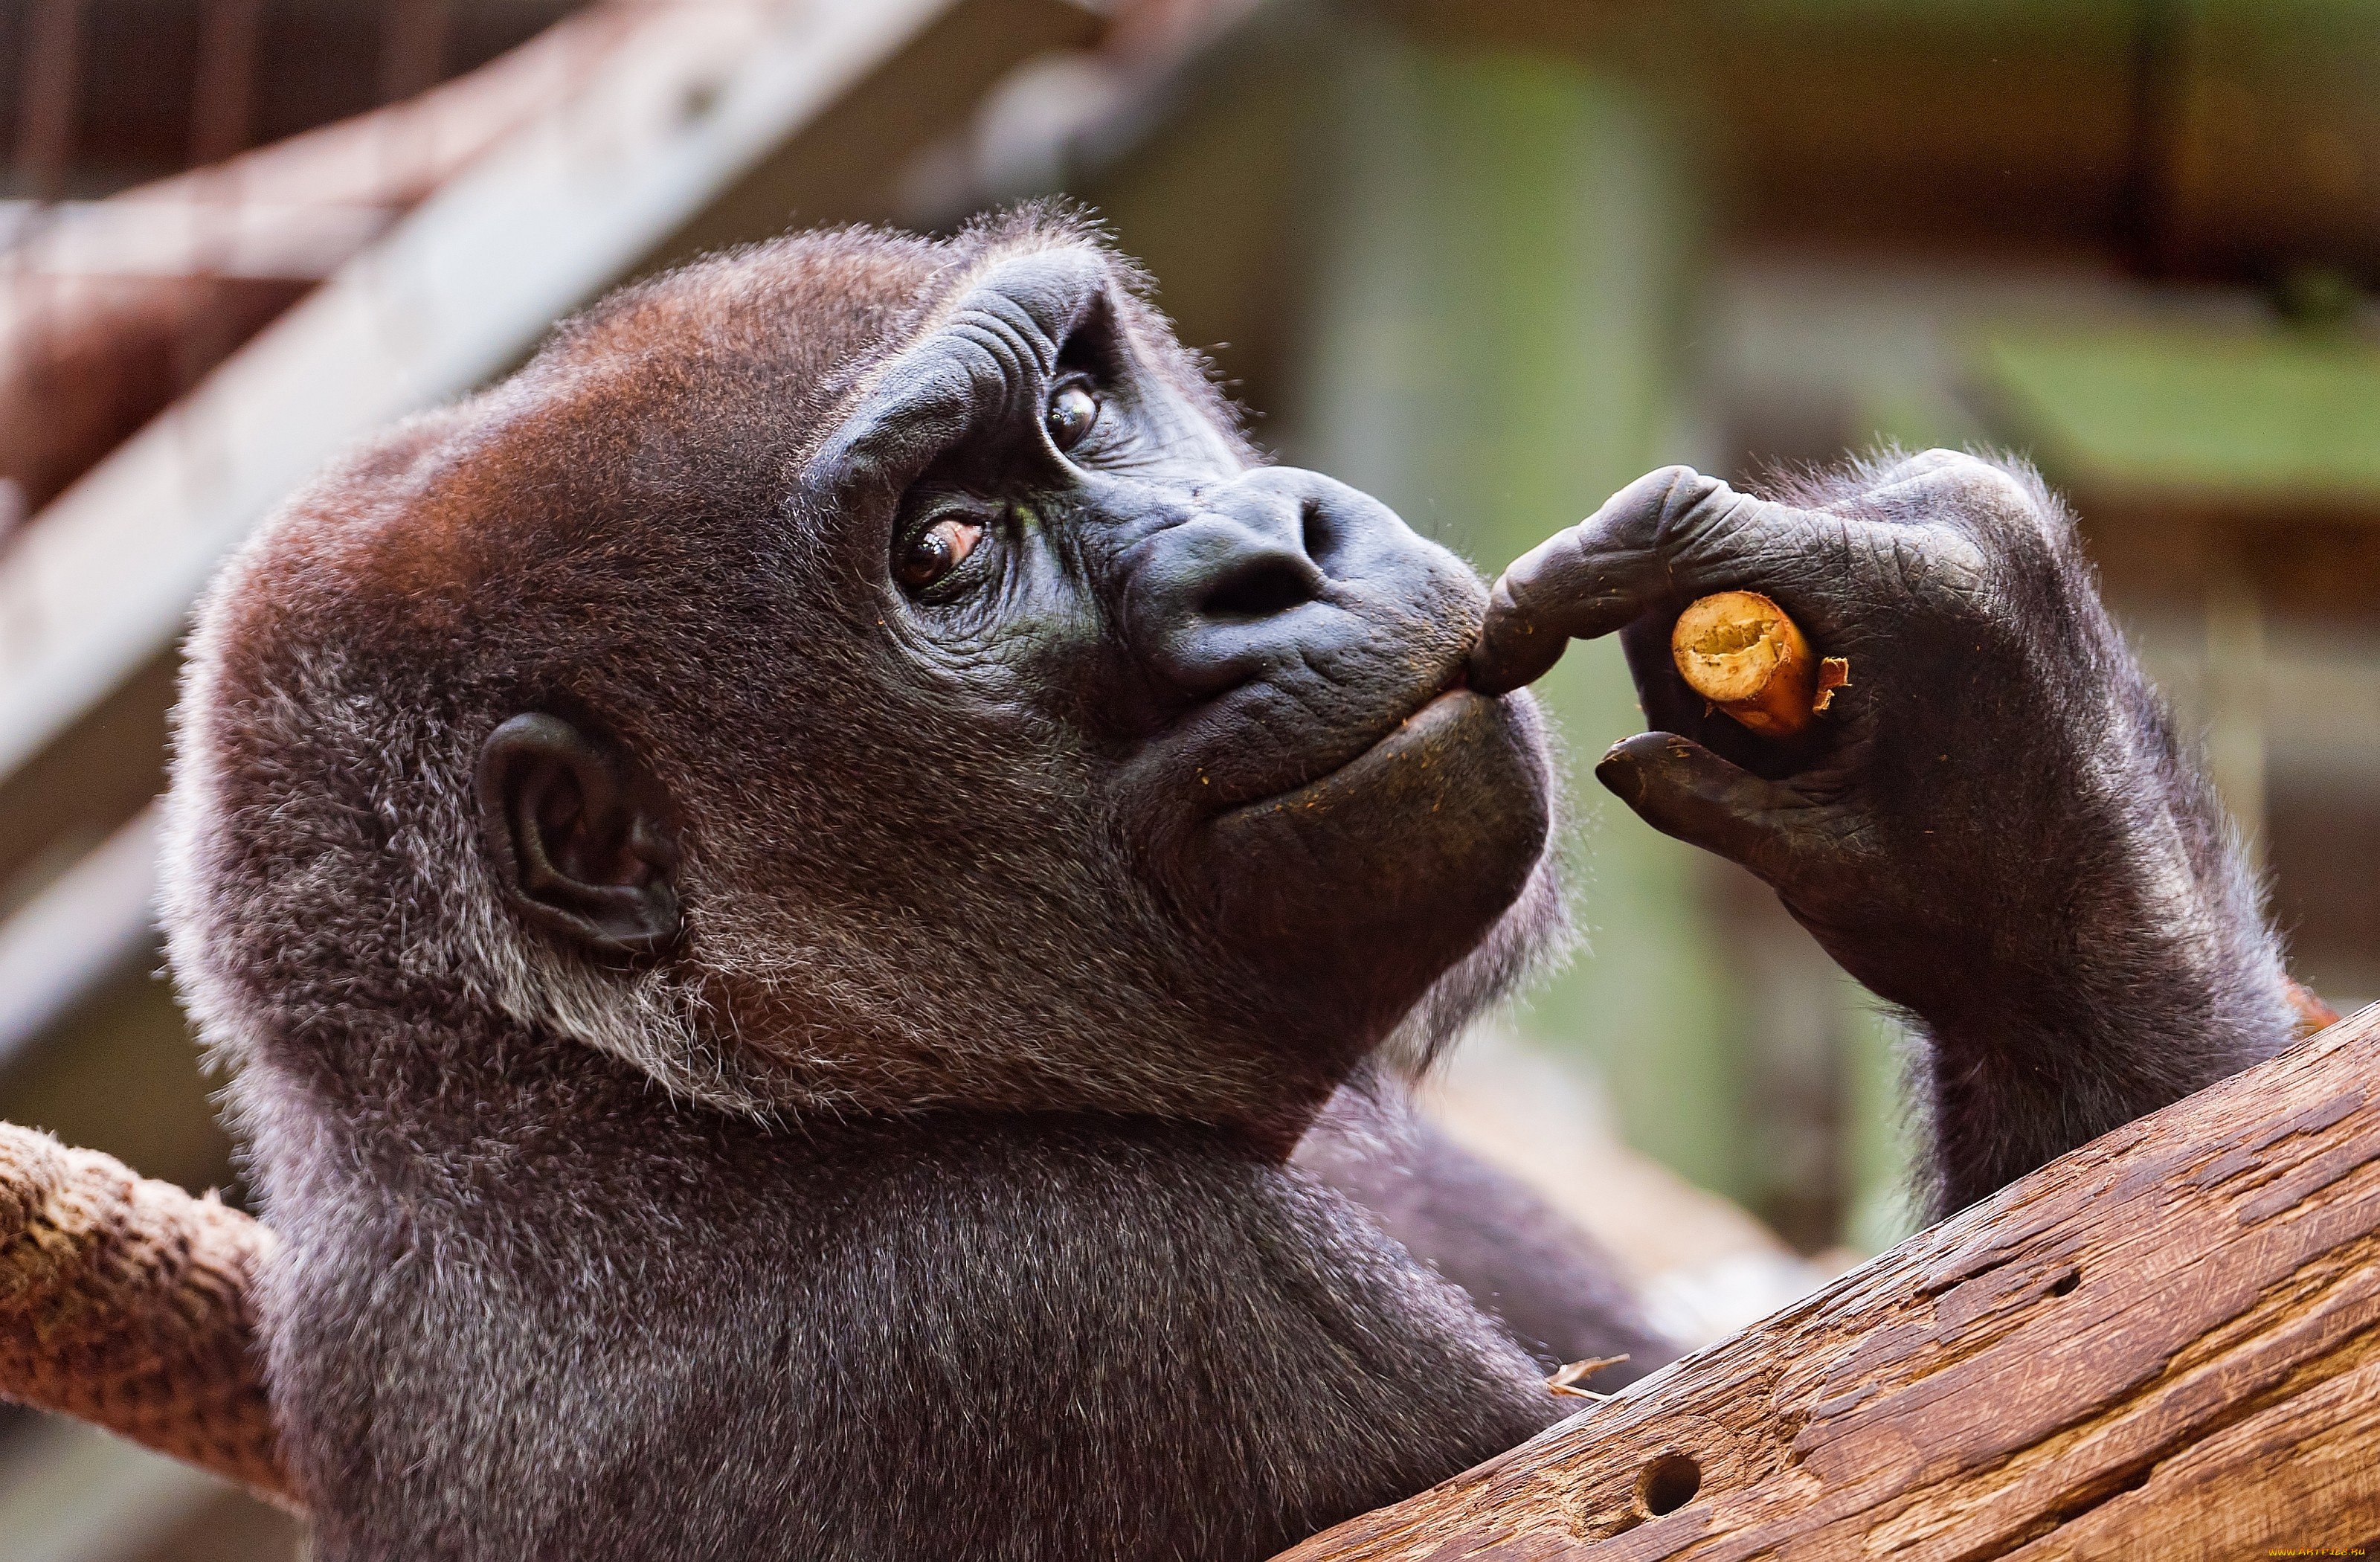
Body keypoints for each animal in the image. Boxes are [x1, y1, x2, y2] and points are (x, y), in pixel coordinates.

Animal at [158, 210, 2294, 1562]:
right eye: (947, 548)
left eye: (1081, 408)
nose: (1280, 547)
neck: (580, 1092)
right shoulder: (1065, 1312)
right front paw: (2013, 770)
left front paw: (1968, 781)